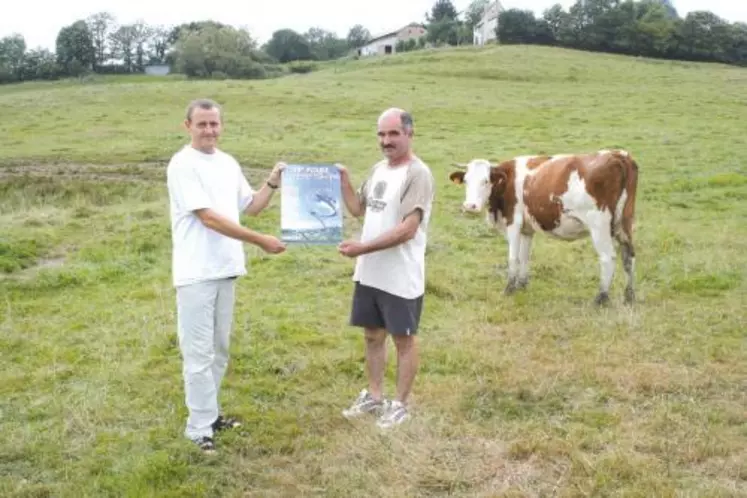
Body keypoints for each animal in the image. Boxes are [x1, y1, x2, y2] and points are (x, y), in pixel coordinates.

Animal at [448, 151, 640, 308]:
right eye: (466, 181)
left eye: (486, 181)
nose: (470, 206)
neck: (506, 181)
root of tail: (618, 155)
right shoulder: (526, 229)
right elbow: (524, 257)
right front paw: (522, 285)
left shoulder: (513, 223)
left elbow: (513, 258)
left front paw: (509, 289)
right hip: (625, 222)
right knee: (628, 255)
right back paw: (629, 296)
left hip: (599, 224)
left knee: (608, 257)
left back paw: (601, 298)